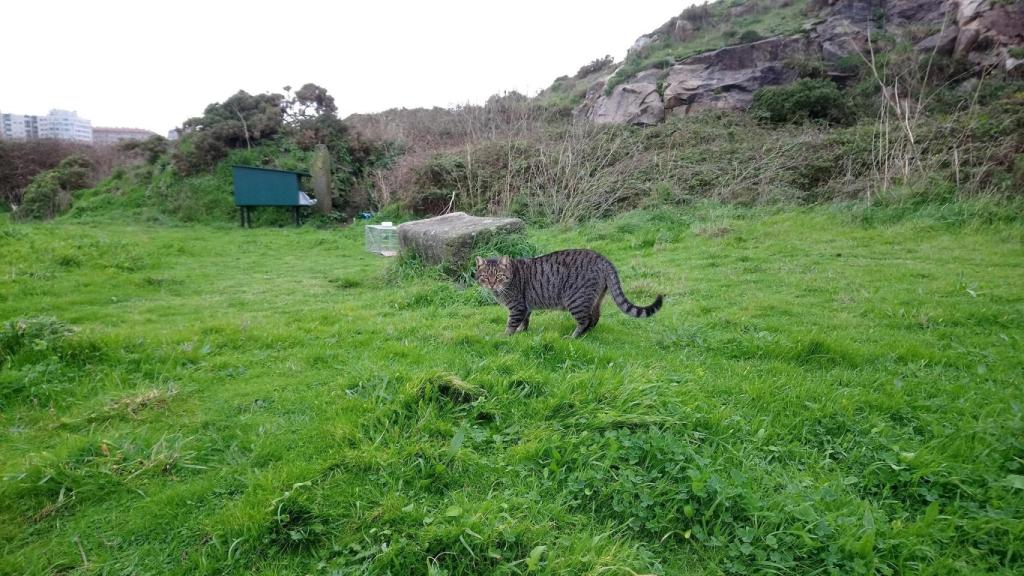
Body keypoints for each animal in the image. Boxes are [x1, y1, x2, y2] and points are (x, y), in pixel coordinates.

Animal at [473, 248, 663, 336]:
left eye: (498, 276)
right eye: (485, 276)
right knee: (595, 318)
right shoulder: (525, 307)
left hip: (576, 299)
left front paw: (505, 336)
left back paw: (574, 336)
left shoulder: (517, 306)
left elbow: (511, 323)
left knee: (585, 320)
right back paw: (586, 335)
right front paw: (522, 332)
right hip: (595, 299)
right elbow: (524, 321)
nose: (492, 285)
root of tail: (602, 258)